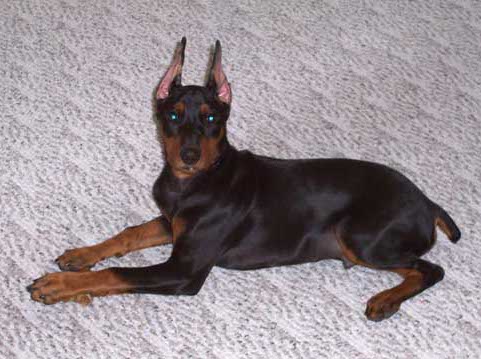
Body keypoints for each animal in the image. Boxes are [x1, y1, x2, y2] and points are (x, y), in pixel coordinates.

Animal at [28, 38, 460, 322]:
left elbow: (117, 274)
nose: (188, 155)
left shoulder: (183, 271)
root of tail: (427, 202)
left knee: (431, 270)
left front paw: (58, 285)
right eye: (173, 115)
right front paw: (81, 255)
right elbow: (130, 233)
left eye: (211, 118)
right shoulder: (172, 223)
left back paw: (386, 300)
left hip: (361, 237)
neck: (194, 183)